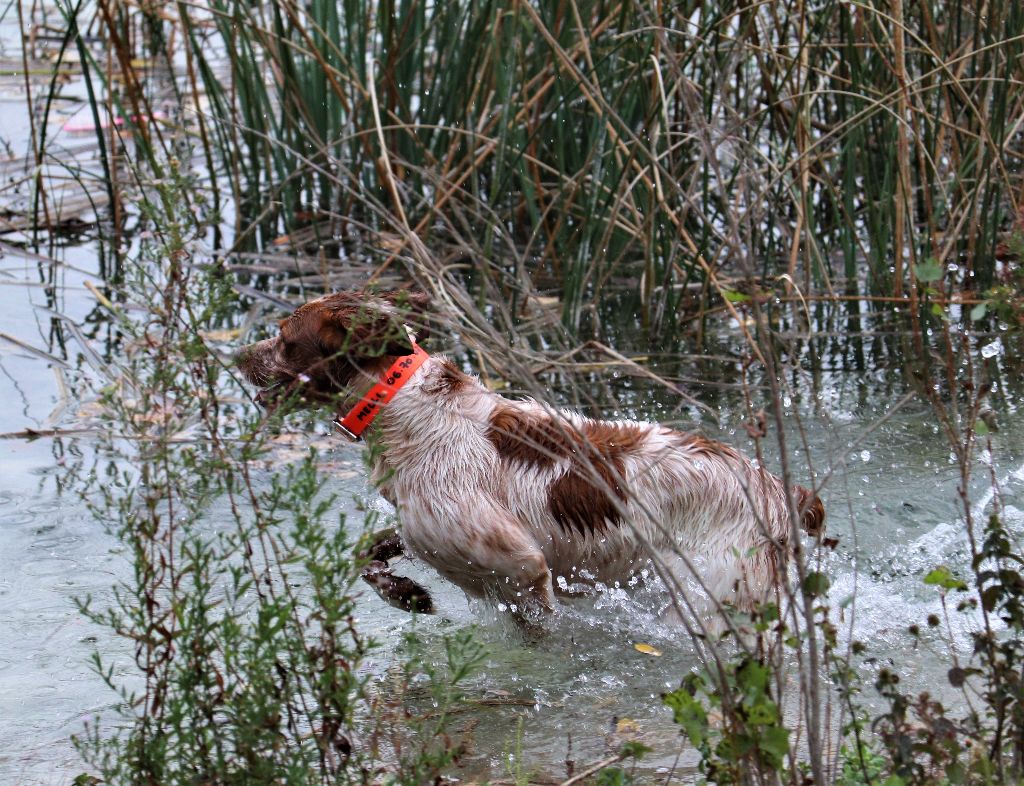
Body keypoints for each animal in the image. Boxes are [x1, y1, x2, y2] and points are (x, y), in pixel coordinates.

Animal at [237, 290, 823, 622]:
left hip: (713, 599)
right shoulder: (428, 529)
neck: (410, 411)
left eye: (285, 340)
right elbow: (367, 556)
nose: (237, 354)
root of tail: (782, 489)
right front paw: (405, 593)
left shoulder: (520, 566)